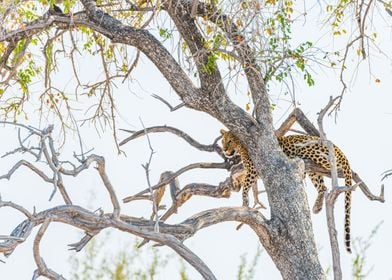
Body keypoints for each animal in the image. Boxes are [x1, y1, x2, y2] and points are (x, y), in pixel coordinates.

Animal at [219, 130, 354, 253]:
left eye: (230, 141)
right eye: (223, 141)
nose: (224, 149)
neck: (241, 148)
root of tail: (337, 148)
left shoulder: (253, 170)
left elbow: (246, 186)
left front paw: (244, 200)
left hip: (309, 151)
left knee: (333, 165)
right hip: (314, 172)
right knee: (323, 188)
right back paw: (317, 207)